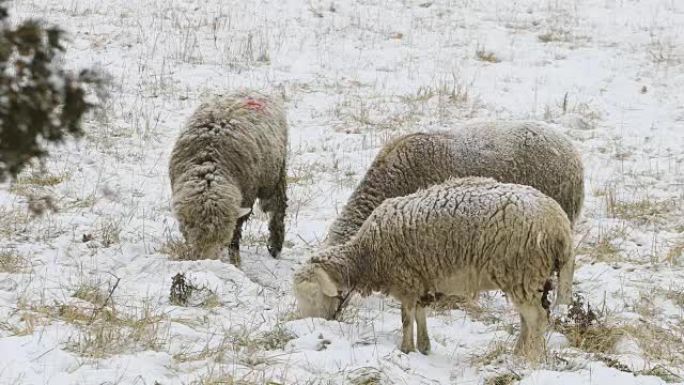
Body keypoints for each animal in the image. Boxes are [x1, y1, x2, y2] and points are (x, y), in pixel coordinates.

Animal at [172, 89, 290, 264]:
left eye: (222, 242)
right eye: (196, 240)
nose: (208, 262)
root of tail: (251, 90)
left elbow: (235, 237)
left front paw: (235, 261)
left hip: (274, 174)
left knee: (277, 206)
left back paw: (275, 245)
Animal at [294, 176, 572, 358]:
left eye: (313, 293)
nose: (310, 325)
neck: (367, 256)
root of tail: (560, 226)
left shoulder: (406, 280)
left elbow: (406, 318)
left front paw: (405, 349)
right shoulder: (422, 279)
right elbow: (420, 314)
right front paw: (423, 347)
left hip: (522, 272)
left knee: (537, 319)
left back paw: (530, 358)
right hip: (527, 278)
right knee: (528, 319)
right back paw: (517, 353)